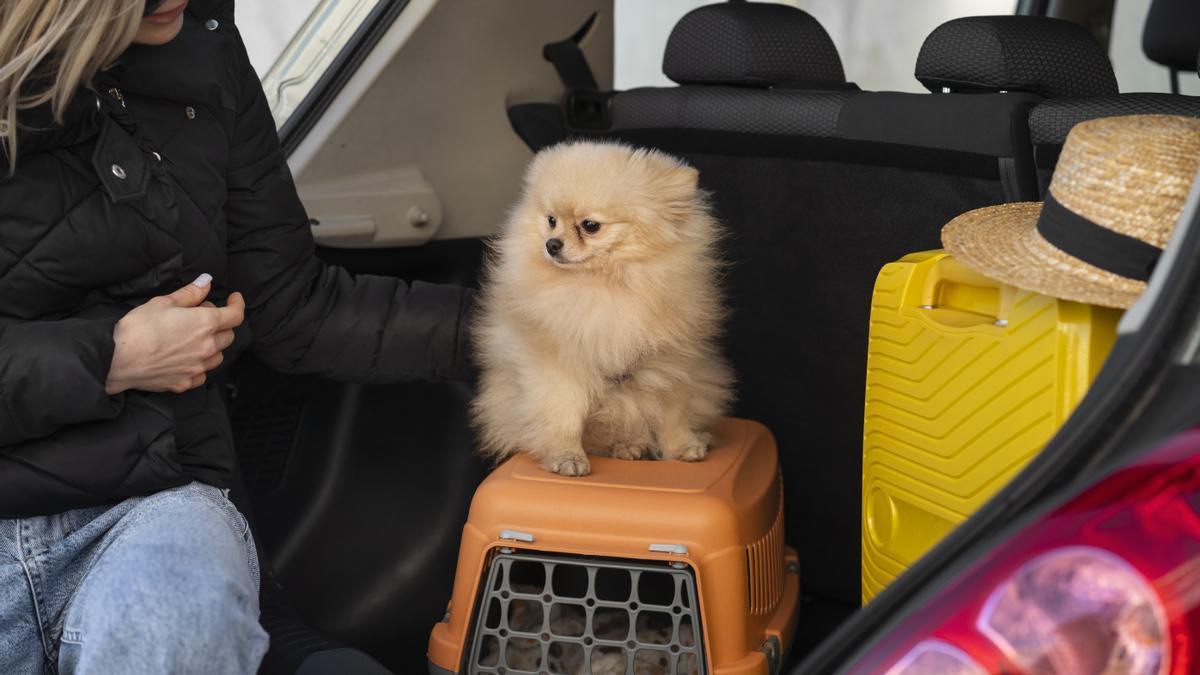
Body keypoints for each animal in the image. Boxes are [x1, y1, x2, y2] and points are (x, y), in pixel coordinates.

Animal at [468, 141, 729, 473]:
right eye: (551, 220)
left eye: (590, 226)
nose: (551, 244)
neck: (606, 285)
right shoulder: (560, 366)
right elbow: (563, 417)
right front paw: (567, 456)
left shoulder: (672, 362)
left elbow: (673, 412)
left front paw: (681, 446)